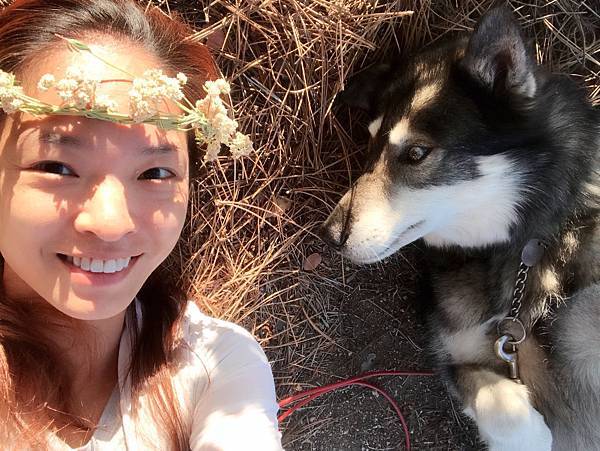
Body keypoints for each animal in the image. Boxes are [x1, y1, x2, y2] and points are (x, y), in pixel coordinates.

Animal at [324, 4, 600, 451]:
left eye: (416, 153)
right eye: (369, 144)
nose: (330, 235)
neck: (523, 249)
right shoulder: (458, 354)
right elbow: (502, 408)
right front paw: (532, 432)